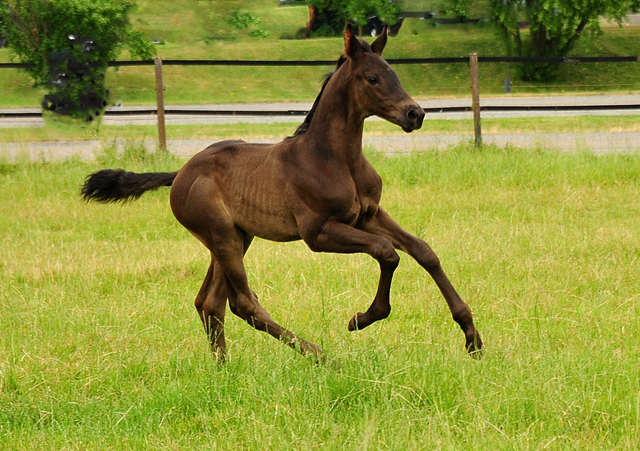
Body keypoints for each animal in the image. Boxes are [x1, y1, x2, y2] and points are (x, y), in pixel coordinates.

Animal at [81, 24, 480, 364]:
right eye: (373, 78)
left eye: (394, 73)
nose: (415, 114)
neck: (334, 157)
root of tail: (180, 173)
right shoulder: (317, 232)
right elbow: (387, 252)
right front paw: (362, 318)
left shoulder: (369, 215)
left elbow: (423, 251)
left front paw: (472, 336)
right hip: (222, 236)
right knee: (243, 302)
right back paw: (320, 356)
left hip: (236, 237)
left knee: (209, 301)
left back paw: (223, 369)